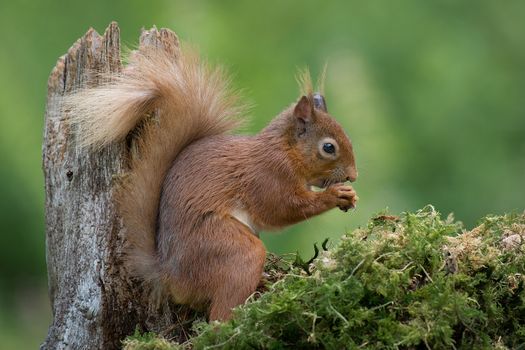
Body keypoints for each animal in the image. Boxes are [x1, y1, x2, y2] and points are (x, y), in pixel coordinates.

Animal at [66, 45, 356, 320]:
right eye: (328, 147)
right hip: (228, 249)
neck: (285, 151)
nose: (353, 176)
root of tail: (169, 276)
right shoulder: (268, 176)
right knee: (218, 318)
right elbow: (282, 209)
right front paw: (336, 195)